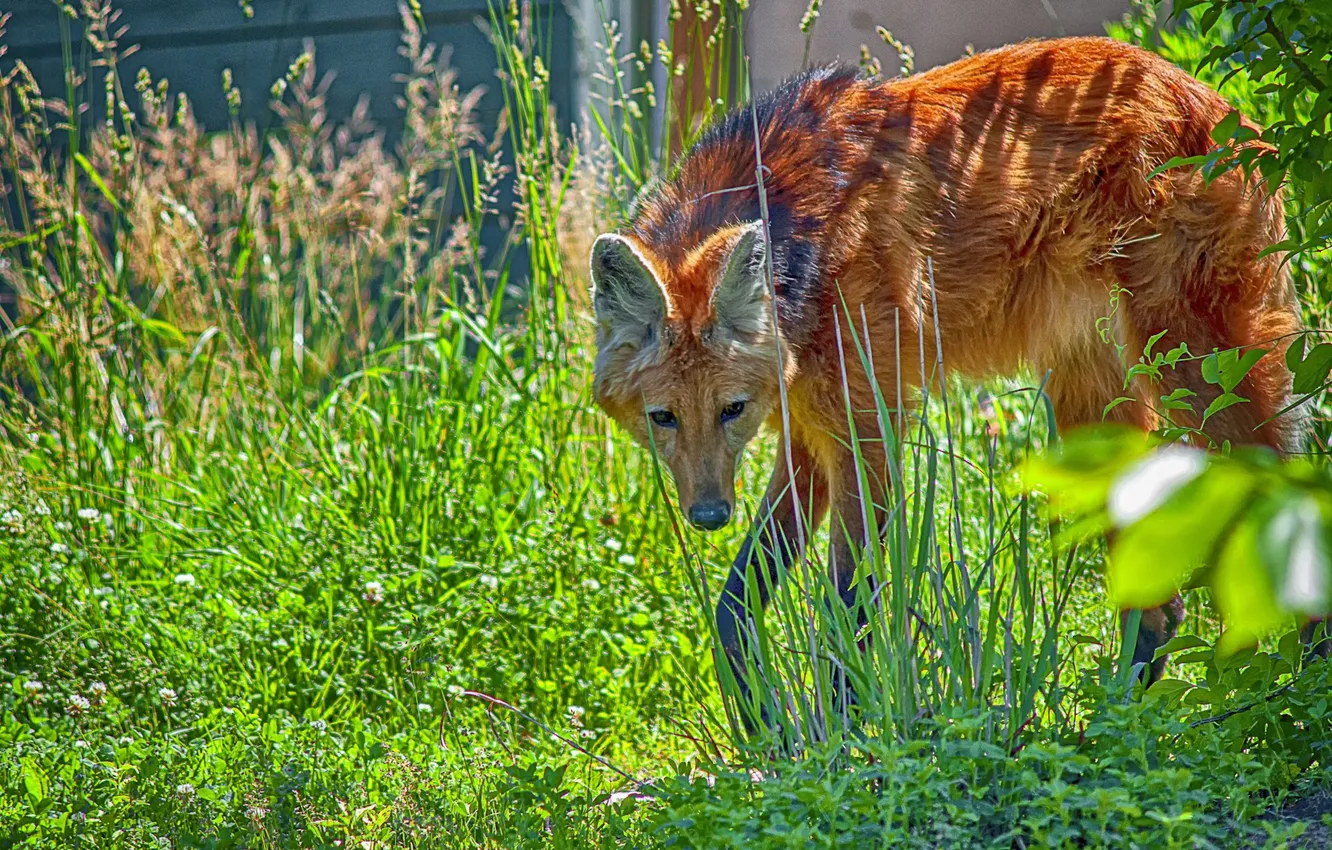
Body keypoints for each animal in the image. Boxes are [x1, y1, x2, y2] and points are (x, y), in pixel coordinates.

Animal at [588, 36, 1310, 714]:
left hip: (1197, 370)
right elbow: (734, 606)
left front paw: (838, 746)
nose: (708, 514)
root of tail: (1224, 107)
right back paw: (1110, 722)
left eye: (731, 409)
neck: (800, 242)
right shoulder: (811, 426)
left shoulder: (866, 428)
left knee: (1289, 503)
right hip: (1092, 407)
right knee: (1161, 608)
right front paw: (767, 729)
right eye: (663, 418)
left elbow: (845, 609)